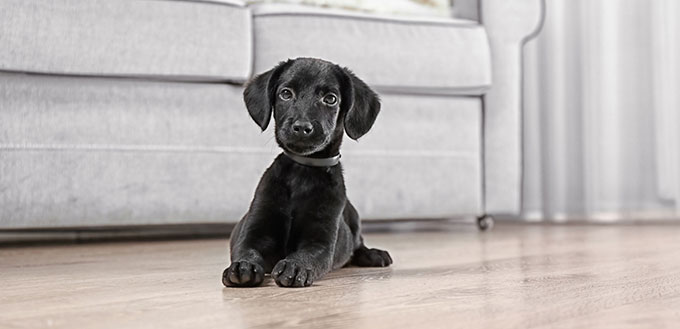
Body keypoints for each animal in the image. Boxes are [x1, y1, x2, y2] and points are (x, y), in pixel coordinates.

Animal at [223, 57, 394, 288]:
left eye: (330, 99)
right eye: (285, 94)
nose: (302, 127)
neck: (303, 171)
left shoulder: (320, 241)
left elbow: (308, 255)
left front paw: (295, 266)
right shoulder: (254, 230)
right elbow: (247, 250)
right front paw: (243, 266)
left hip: (353, 215)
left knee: (357, 244)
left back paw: (373, 255)